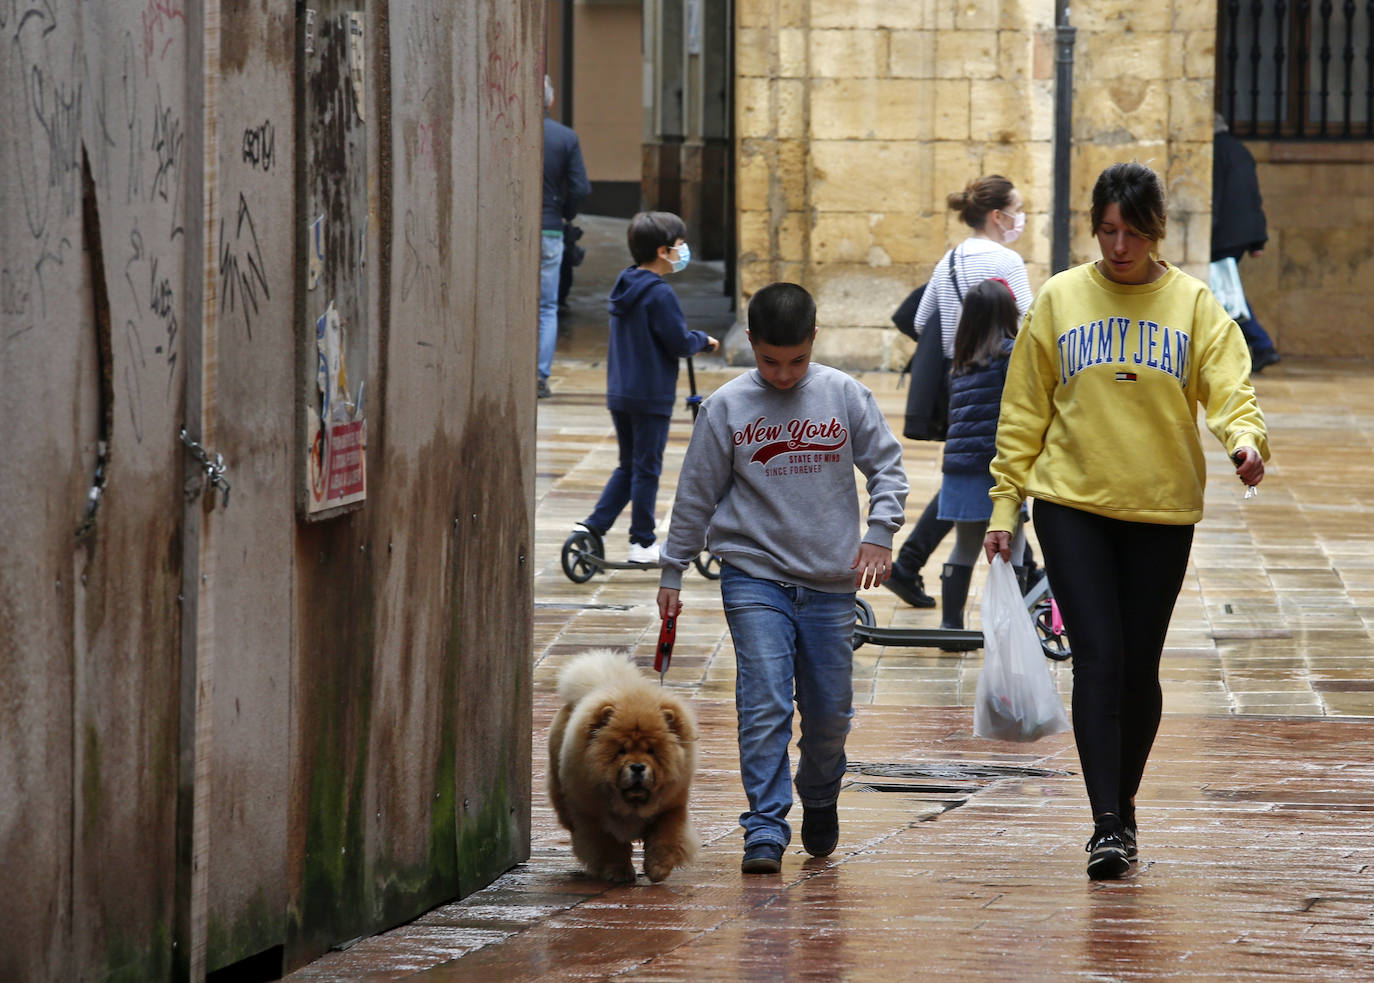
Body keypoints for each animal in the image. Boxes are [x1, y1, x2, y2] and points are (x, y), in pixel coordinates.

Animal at [546, 646, 697, 885]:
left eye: (651, 751)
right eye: (621, 751)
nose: (637, 766)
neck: (631, 805)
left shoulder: (671, 806)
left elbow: (665, 837)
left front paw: (658, 868)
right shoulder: (594, 816)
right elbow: (609, 847)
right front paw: (619, 873)